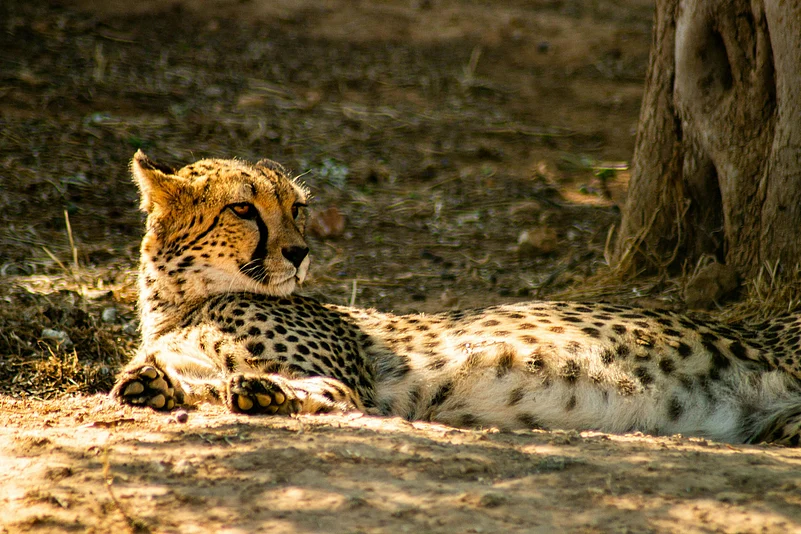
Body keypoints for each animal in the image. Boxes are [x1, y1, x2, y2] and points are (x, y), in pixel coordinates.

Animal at [112, 150, 801, 446]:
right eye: (242, 209)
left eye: (297, 208)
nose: (300, 252)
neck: (179, 302)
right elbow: (172, 380)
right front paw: (153, 385)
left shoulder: (353, 386)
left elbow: (320, 392)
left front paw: (265, 391)